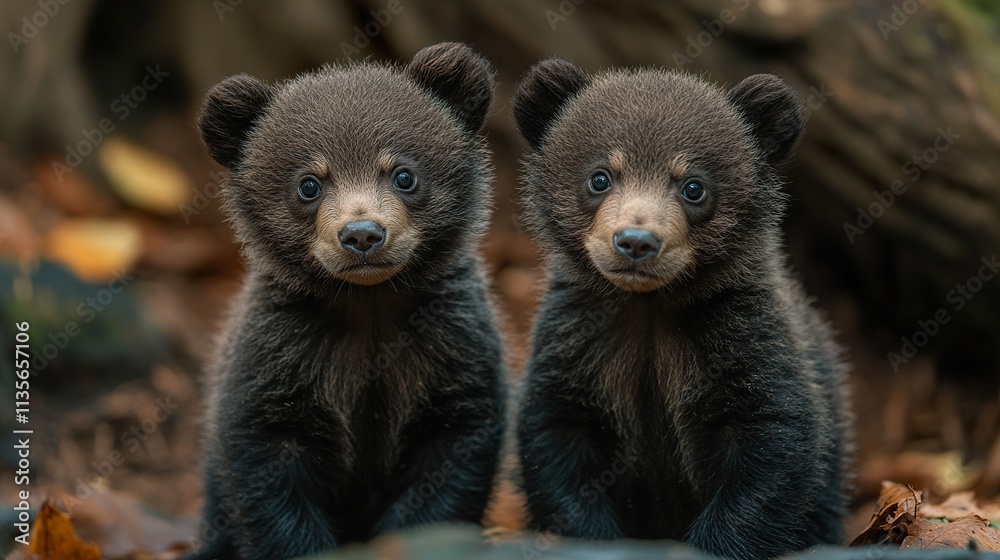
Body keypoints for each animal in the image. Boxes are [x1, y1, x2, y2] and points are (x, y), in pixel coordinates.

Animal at [182, 43, 507, 560]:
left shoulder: (451, 351)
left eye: (403, 174)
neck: (367, 306)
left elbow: (450, 460)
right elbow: (267, 467)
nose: (362, 234)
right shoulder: (280, 359)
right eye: (309, 184)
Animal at [511, 59, 851, 560]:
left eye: (694, 186)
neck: (649, 307)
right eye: (600, 177)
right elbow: (557, 434)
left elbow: (773, 435)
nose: (636, 242)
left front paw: (719, 540)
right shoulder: (578, 340)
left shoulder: (744, 335)